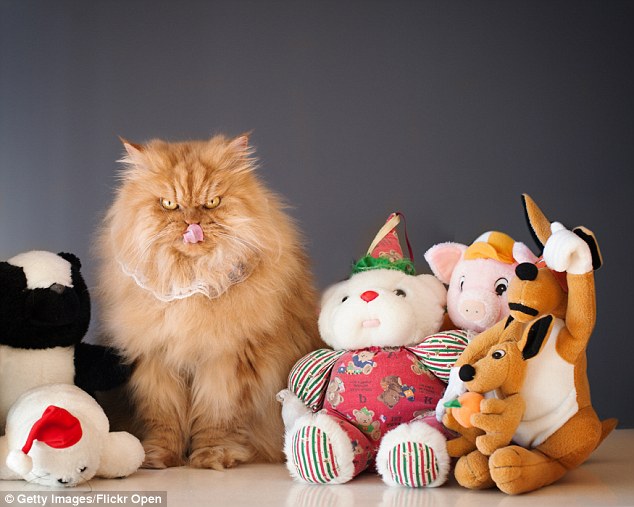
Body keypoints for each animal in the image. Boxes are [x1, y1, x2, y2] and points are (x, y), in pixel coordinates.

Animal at [96, 134, 320, 468]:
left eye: (212, 202)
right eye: (169, 204)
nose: (192, 223)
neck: (191, 286)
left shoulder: (227, 364)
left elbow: (217, 419)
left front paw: (210, 458)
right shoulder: (157, 363)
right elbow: (163, 419)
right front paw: (156, 458)